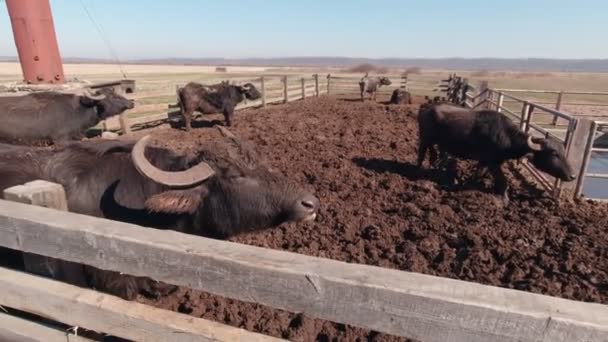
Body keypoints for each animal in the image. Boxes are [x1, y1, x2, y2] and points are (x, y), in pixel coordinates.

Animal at [416, 104, 576, 203]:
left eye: (563, 151)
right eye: (554, 153)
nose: (573, 176)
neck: (506, 136)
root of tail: (426, 109)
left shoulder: (485, 161)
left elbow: (479, 173)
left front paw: (470, 182)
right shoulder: (493, 163)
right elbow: (503, 181)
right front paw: (505, 198)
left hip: (435, 142)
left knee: (434, 155)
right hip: (425, 138)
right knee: (421, 153)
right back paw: (418, 170)